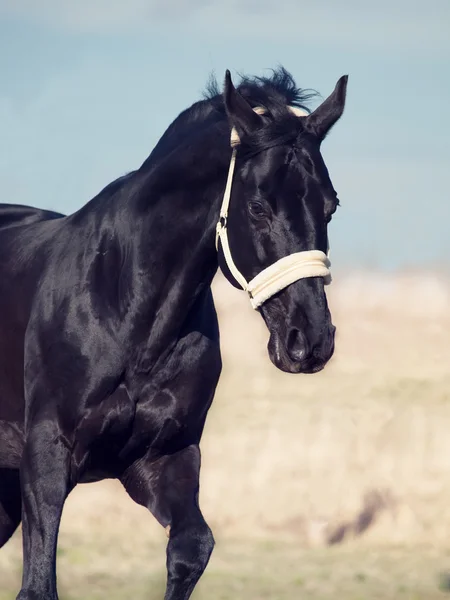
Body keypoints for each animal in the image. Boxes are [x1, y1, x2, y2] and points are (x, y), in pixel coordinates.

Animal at [0, 68, 348, 596]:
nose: (310, 341)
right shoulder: (45, 458)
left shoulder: (164, 457)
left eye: (330, 207)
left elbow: (192, 548)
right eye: (258, 208)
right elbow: (39, 583)